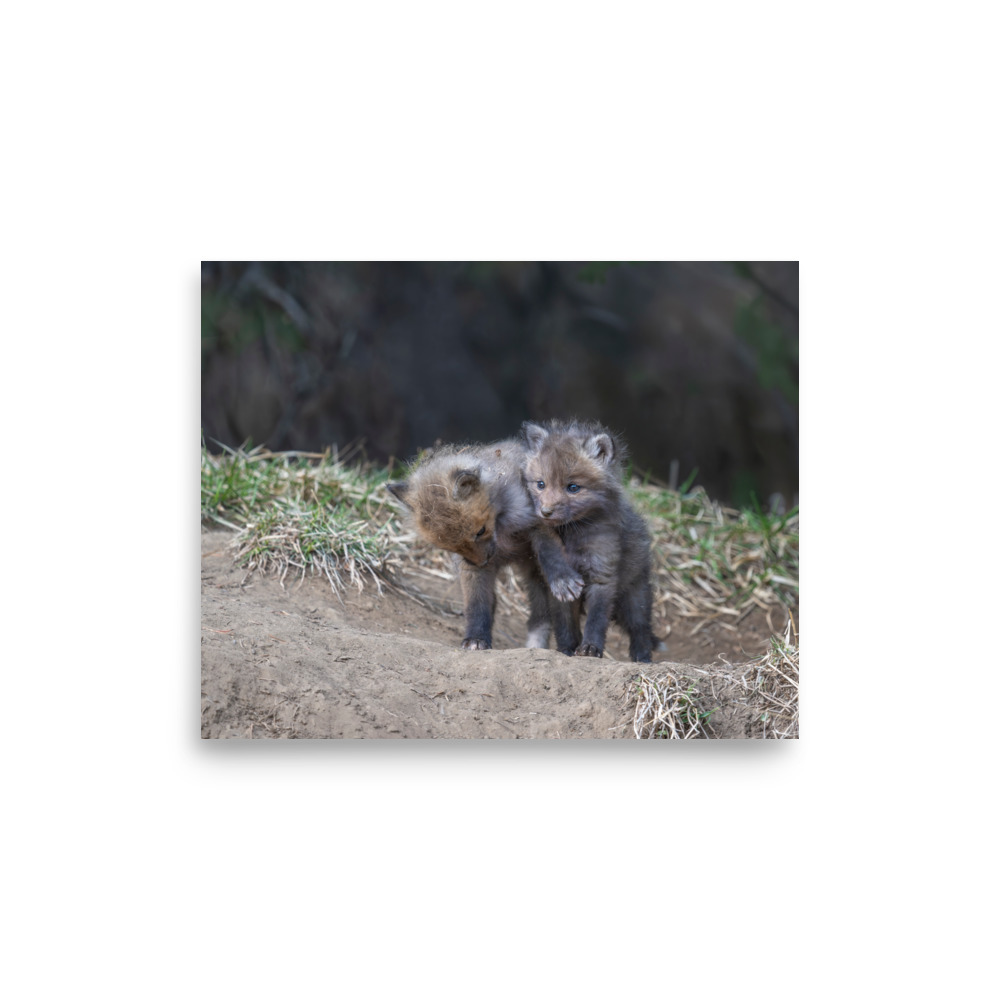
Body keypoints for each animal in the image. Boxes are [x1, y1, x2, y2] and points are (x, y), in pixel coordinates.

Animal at [386, 438, 584, 651]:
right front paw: (476, 638)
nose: (482, 562)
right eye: (450, 547)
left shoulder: (538, 521)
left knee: (560, 617)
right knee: (538, 616)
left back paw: (567, 649)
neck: (501, 527)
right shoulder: (469, 567)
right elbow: (476, 604)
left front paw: (562, 579)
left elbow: (550, 552)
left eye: (480, 531)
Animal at [520, 418, 655, 663]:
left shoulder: (602, 574)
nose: (545, 512)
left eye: (573, 487)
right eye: (541, 484)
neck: (573, 535)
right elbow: (565, 624)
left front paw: (591, 648)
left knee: (641, 629)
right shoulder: (559, 588)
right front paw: (567, 649)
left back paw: (643, 659)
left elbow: (597, 619)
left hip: (634, 598)